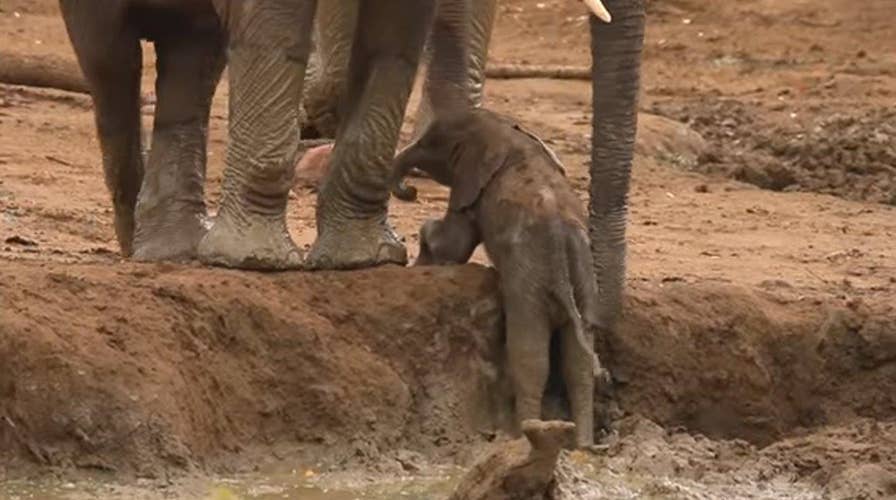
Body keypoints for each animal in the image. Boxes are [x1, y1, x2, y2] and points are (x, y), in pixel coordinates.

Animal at [390, 108, 610, 447]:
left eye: (430, 145)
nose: (410, 191)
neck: (508, 131)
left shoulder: (473, 191)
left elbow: (454, 241)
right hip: (584, 282)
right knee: (578, 361)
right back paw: (582, 444)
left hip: (528, 282)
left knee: (530, 356)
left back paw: (526, 434)